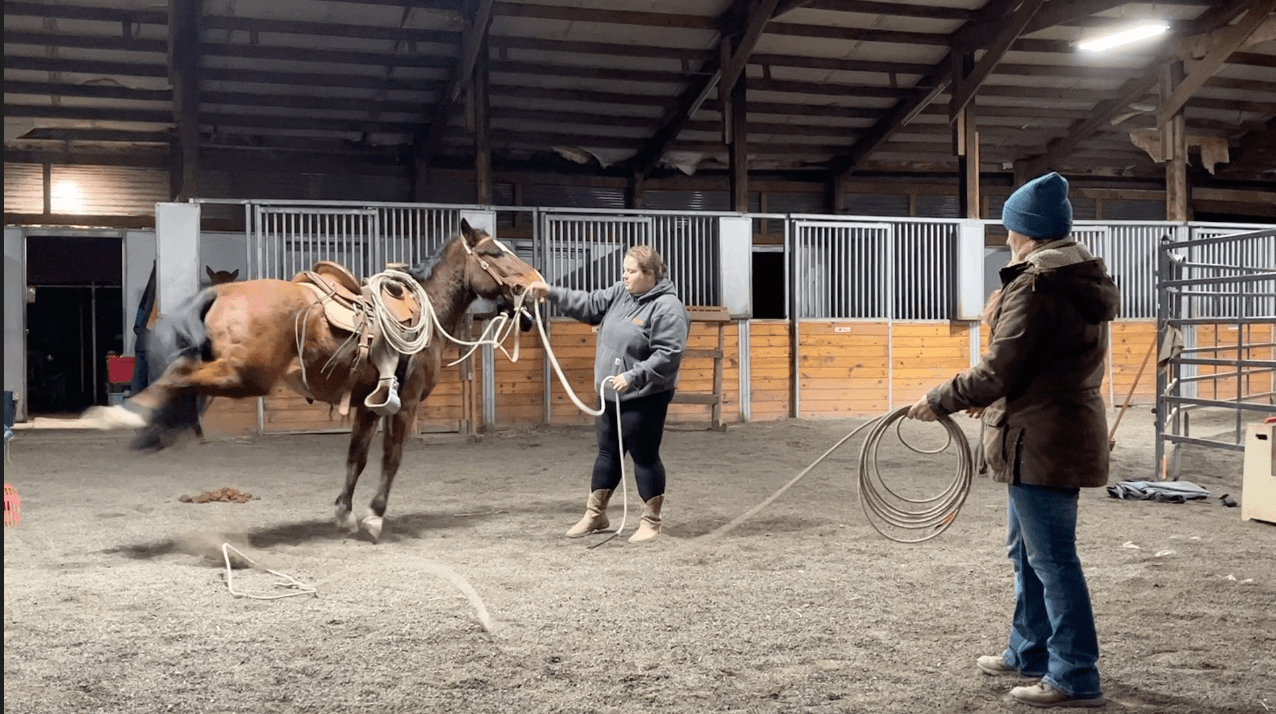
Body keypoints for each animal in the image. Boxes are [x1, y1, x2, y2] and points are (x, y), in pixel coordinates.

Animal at [84, 220, 543, 538]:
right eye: (494, 253)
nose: (536, 286)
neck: (424, 309)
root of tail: (221, 293)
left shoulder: (368, 405)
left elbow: (357, 458)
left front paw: (344, 513)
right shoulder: (405, 404)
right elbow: (391, 459)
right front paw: (374, 517)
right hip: (242, 376)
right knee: (178, 374)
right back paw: (120, 416)